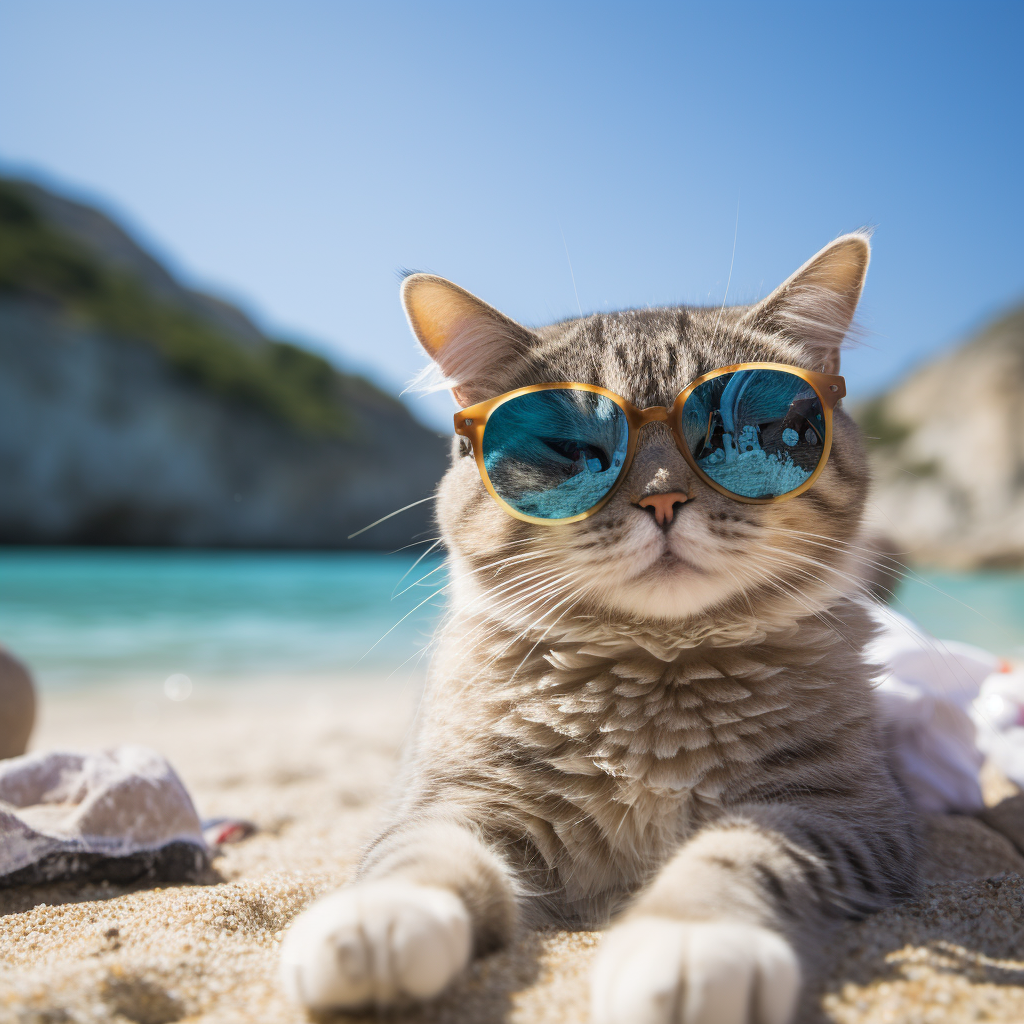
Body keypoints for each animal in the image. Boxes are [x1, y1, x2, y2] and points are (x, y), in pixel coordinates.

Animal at [276, 234, 917, 1024]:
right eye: (571, 447)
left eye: (736, 431)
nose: (663, 499)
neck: (657, 681)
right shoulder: (458, 801)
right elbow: (419, 858)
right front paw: (380, 922)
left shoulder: (838, 811)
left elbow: (740, 853)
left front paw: (691, 941)